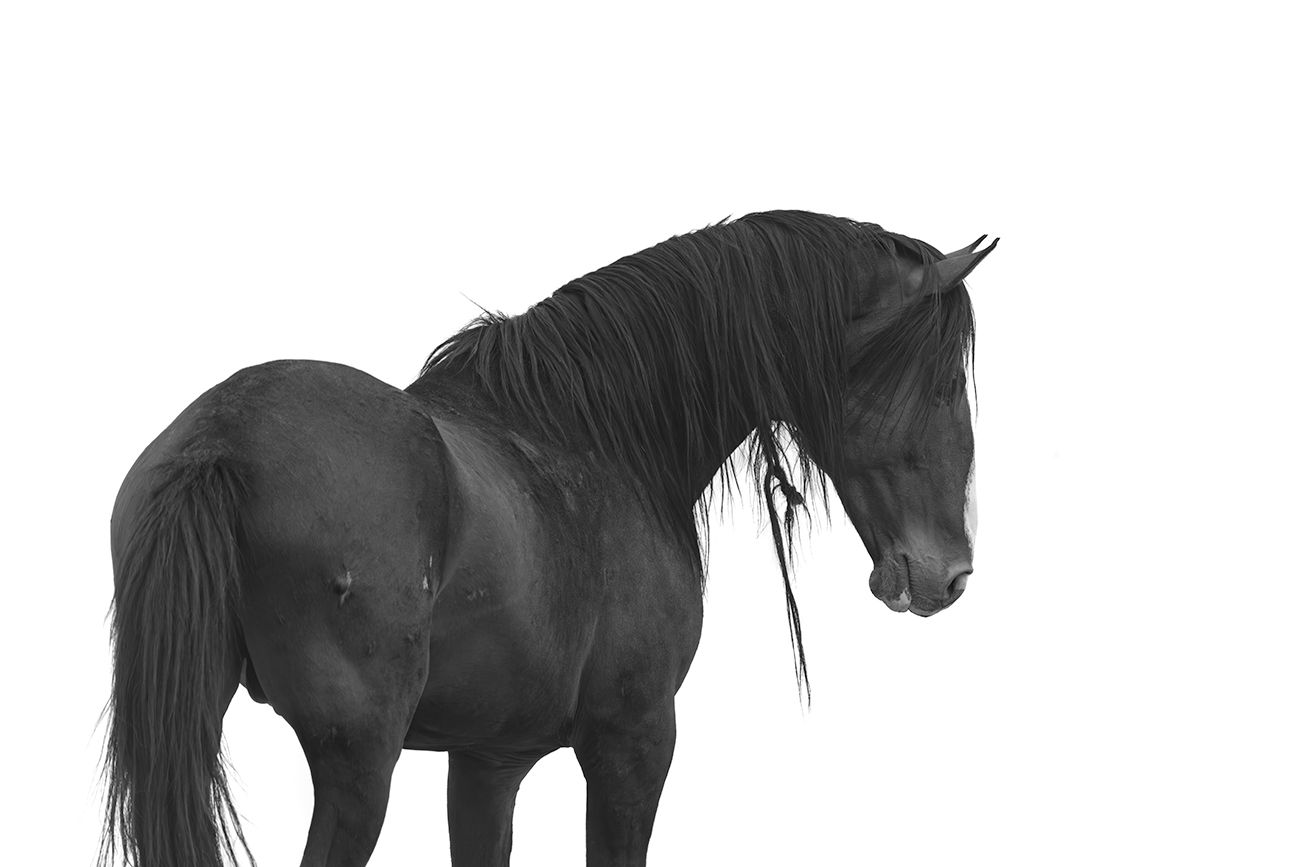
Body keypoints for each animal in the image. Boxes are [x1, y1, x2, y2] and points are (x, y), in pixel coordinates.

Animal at [101, 210, 994, 867]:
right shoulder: (633, 740)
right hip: (358, 764)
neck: (595, 437)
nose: (948, 575)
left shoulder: (487, 763)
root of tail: (222, 435)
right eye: (945, 384)